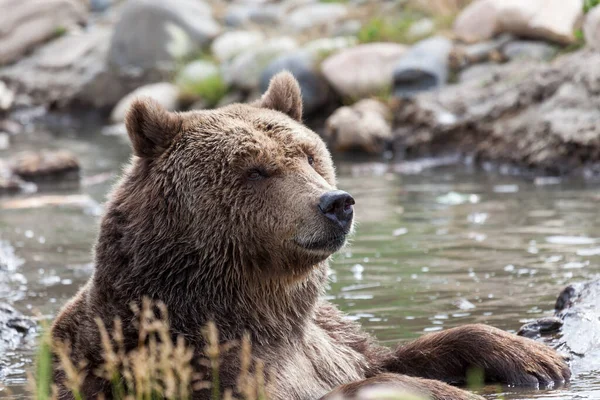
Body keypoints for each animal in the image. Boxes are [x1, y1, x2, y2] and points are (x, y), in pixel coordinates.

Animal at [50, 72, 568, 400]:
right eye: (255, 169)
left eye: (308, 155)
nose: (336, 203)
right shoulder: (176, 355)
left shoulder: (327, 339)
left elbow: (391, 358)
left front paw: (535, 359)